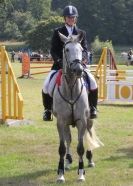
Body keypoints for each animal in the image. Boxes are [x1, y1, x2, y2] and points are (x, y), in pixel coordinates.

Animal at [52, 32, 103, 182]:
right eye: (67, 49)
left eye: (81, 49)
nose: (78, 70)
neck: (70, 88)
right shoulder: (61, 121)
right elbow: (62, 147)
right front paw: (61, 174)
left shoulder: (81, 120)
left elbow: (80, 147)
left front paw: (81, 173)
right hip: (67, 123)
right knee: (68, 139)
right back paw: (68, 161)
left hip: (89, 120)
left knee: (87, 134)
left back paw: (90, 160)